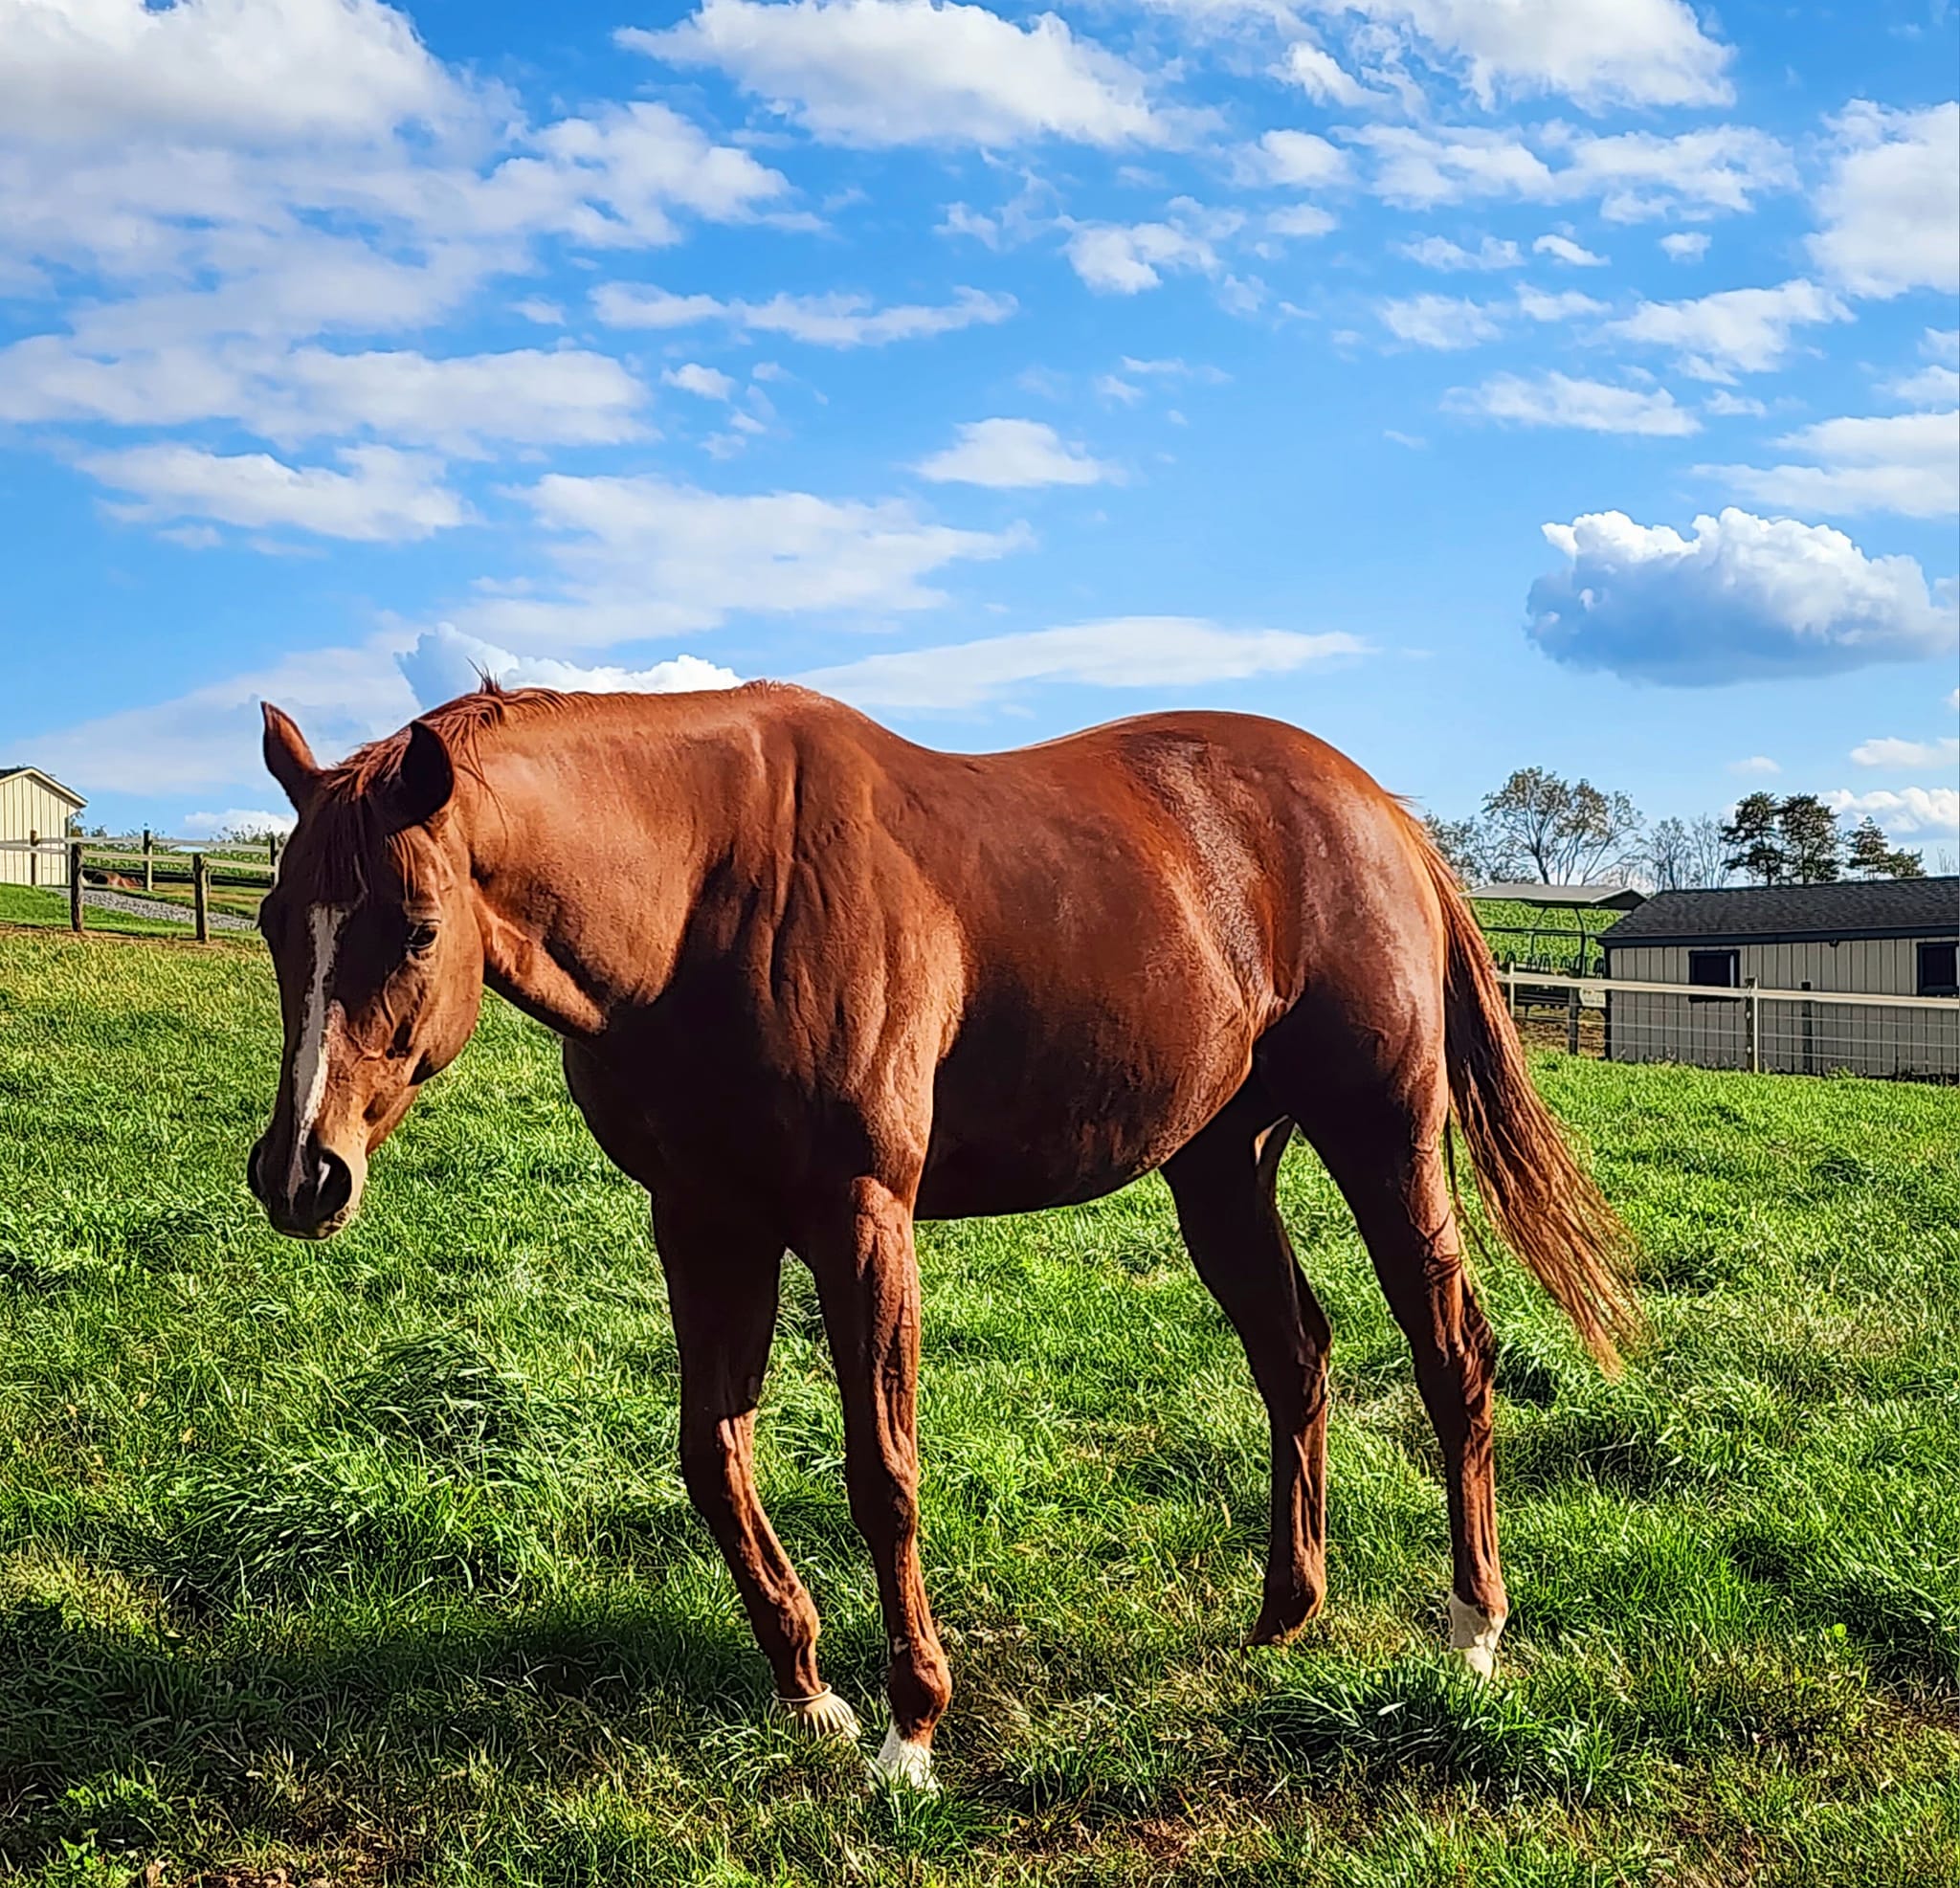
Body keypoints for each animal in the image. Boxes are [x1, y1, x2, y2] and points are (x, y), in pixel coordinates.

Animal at [246, 681, 1636, 1791]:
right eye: (274, 921)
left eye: (416, 927)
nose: (302, 1172)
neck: (711, 891)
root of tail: (1378, 813)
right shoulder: (702, 1221)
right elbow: (713, 1456)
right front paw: (808, 1687)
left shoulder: (864, 1219)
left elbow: (882, 1473)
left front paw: (910, 1728)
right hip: (1219, 1165)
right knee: (1294, 1358)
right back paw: (1284, 1615)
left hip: (1384, 1138)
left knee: (1453, 1354)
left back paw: (1471, 1629)